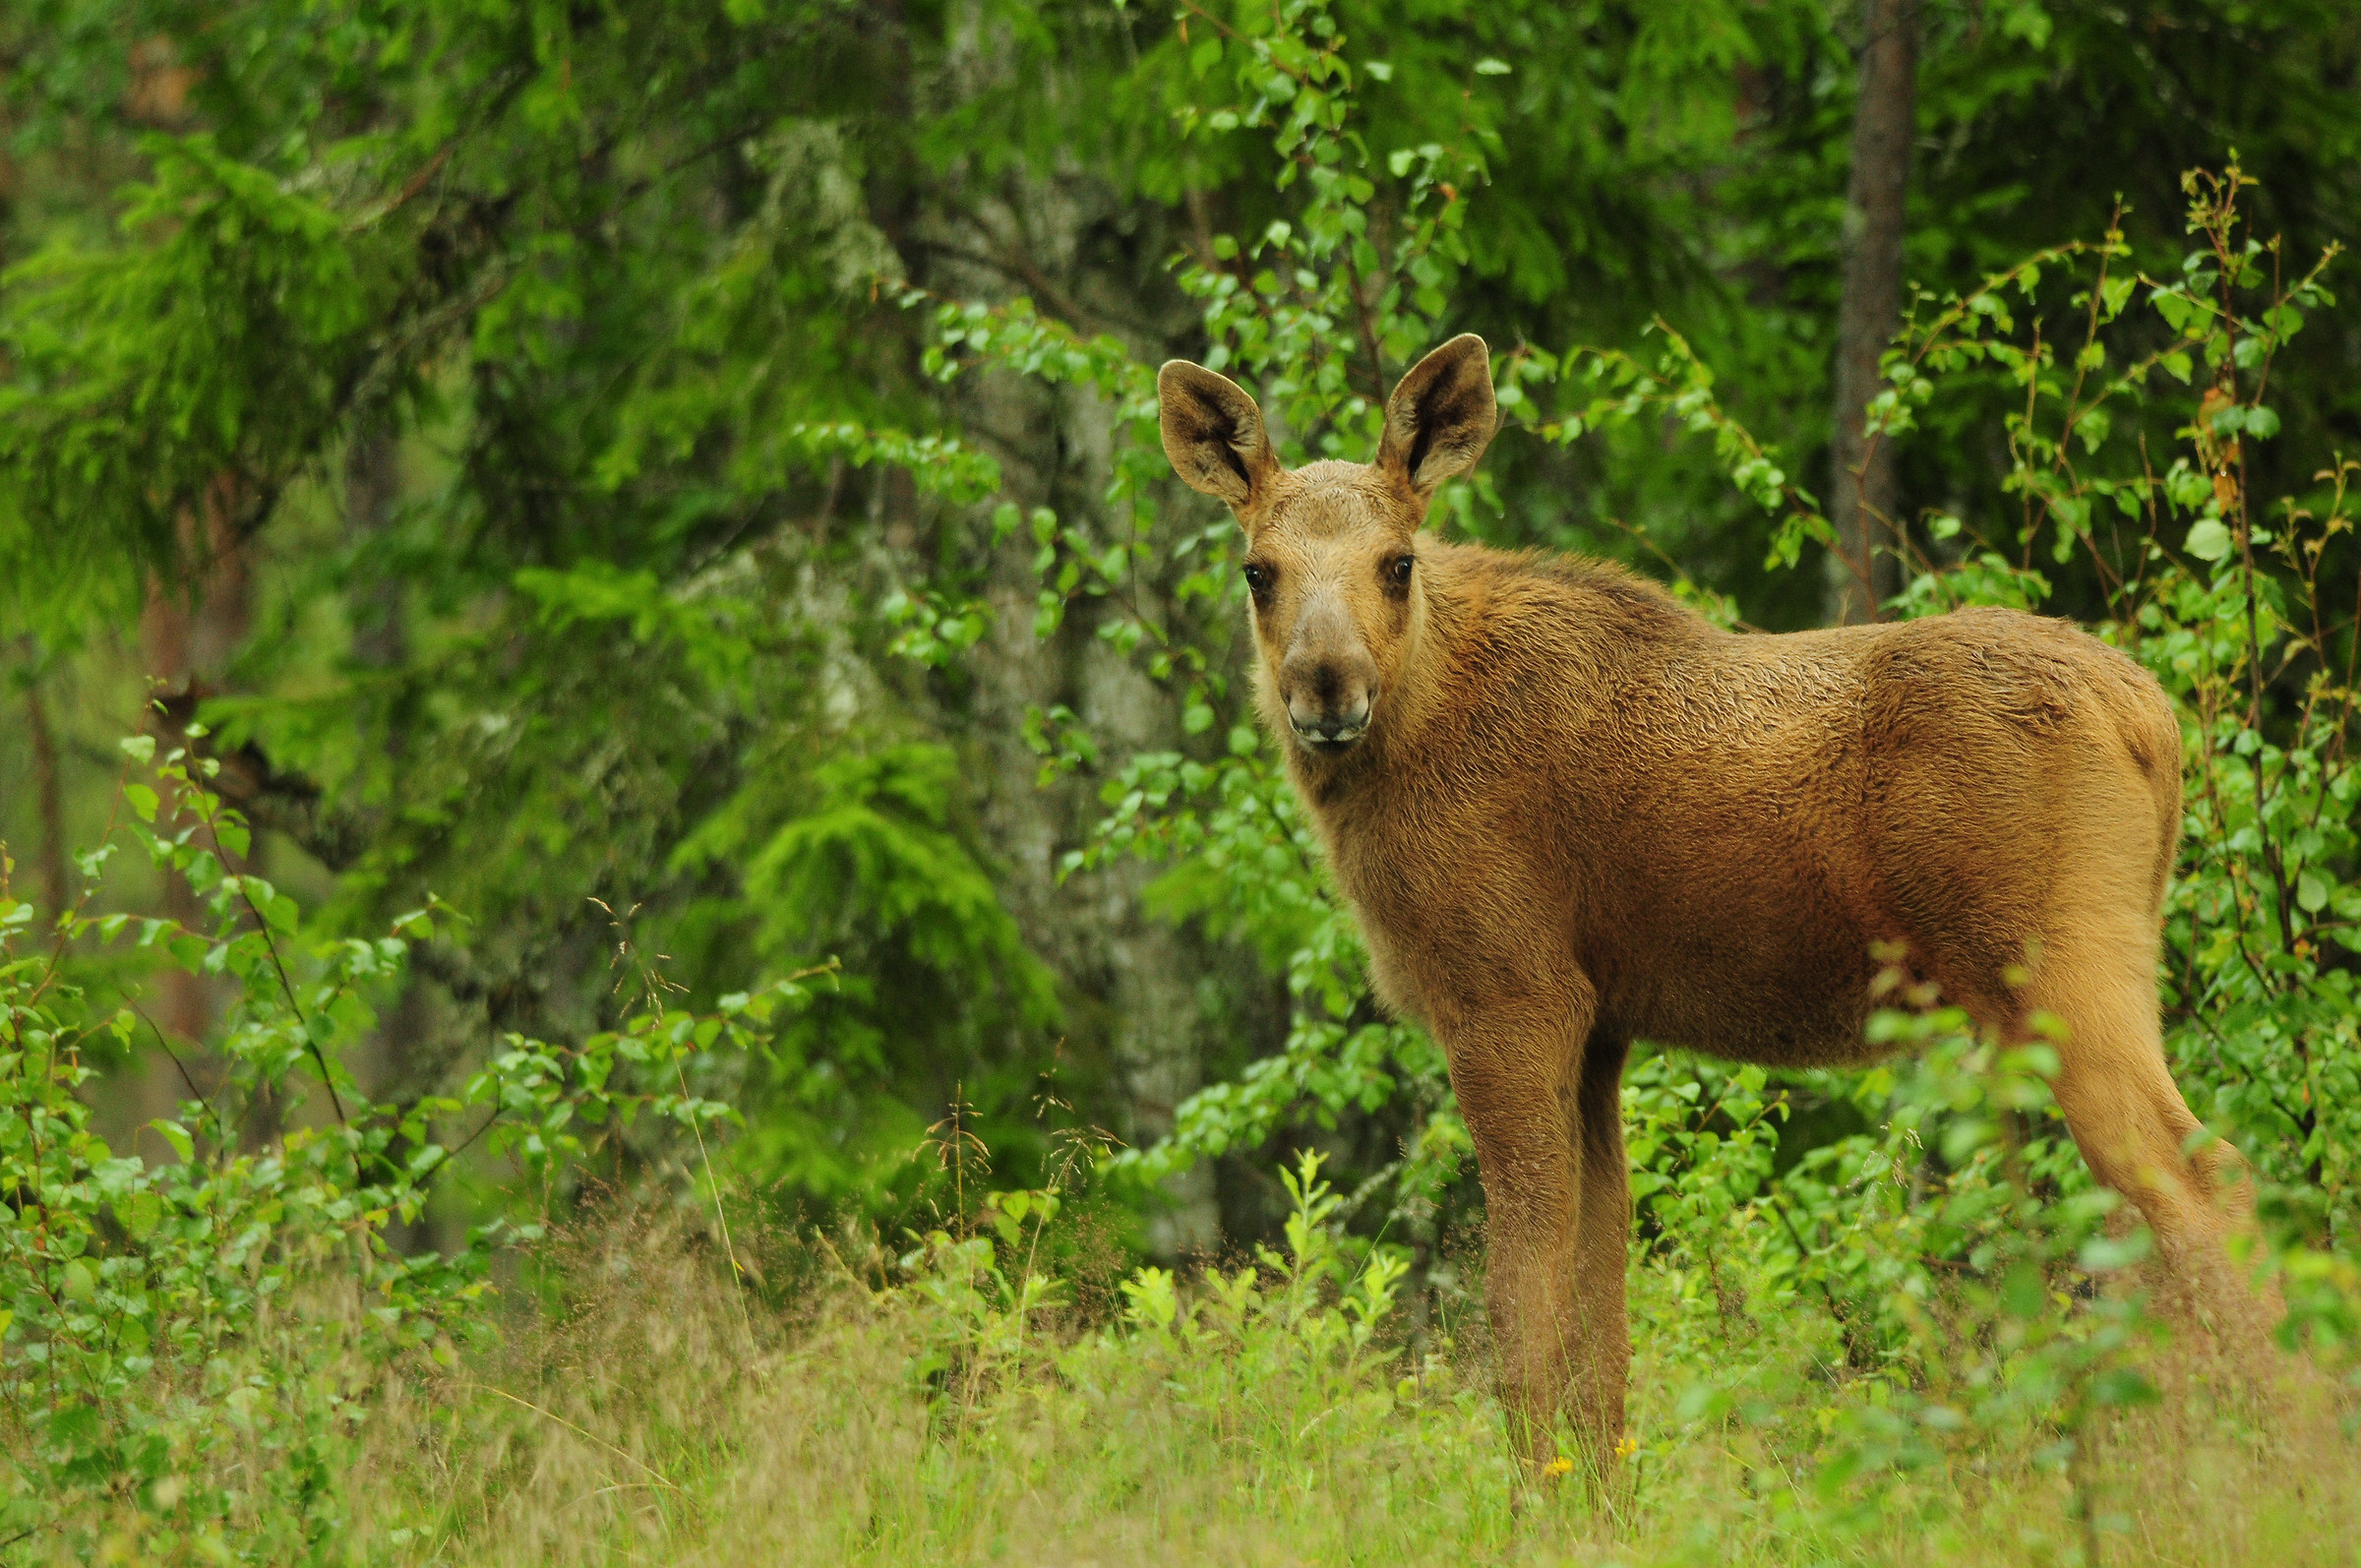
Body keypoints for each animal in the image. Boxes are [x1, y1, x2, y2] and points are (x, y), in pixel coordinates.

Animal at [1155, 333, 2262, 1471]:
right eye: (1257, 571)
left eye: (1399, 562)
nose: (1325, 685)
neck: (1401, 757)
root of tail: (2155, 722)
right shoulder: (1601, 1029)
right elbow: (1603, 1333)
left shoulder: (1510, 997)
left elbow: (1522, 1314)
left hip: (2060, 970)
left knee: (2207, 1184)